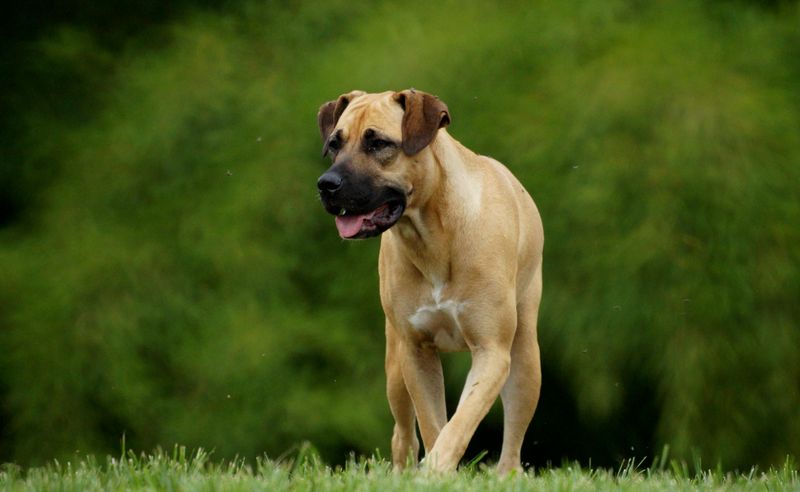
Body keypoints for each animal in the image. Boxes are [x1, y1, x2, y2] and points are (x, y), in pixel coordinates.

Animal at [314, 89, 544, 472]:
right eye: (335, 144)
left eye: (378, 143)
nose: (326, 185)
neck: (434, 233)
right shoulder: (415, 352)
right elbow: (433, 423)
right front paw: (434, 471)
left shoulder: (492, 351)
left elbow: (461, 422)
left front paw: (436, 470)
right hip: (395, 365)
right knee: (403, 433)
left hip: (525, 356)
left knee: (513, 441)